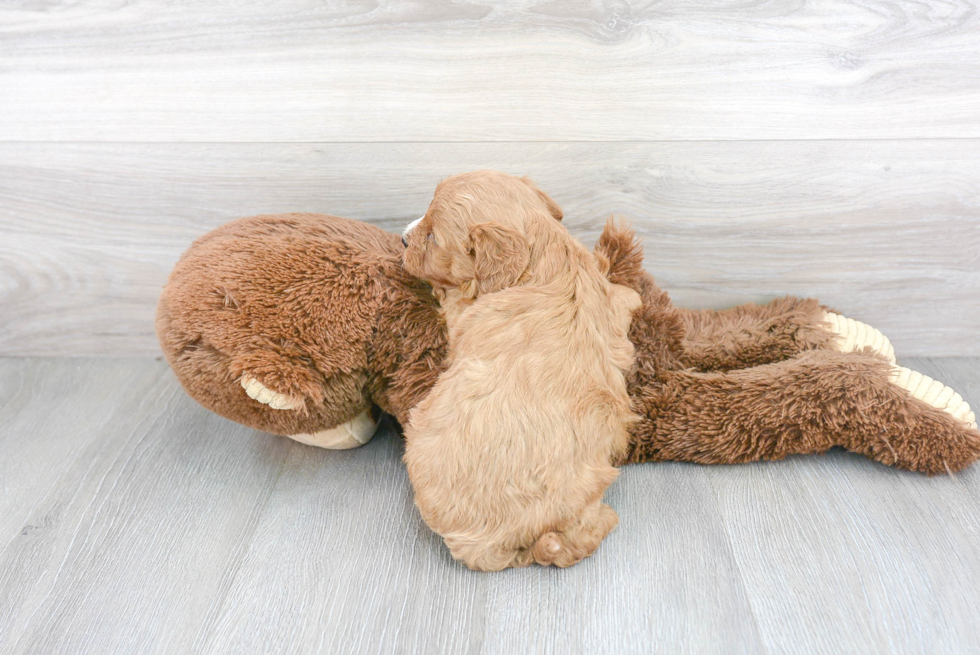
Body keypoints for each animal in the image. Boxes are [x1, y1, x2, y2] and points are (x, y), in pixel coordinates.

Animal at [400, 172, 644, 572]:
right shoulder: (609, 298)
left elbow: (451, 300)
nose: (404, 238)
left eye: (433, 236)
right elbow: (624, 296)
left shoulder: (462, 314)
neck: (547, 257)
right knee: (577, 540)